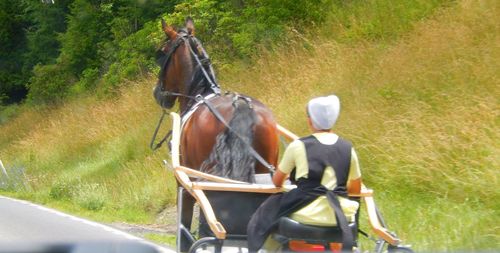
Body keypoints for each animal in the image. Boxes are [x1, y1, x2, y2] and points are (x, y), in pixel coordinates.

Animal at [152, 17, 280, 249]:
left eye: (162, 53)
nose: (157, 92)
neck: (200, 94)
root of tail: (241, 106)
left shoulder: (185, 185)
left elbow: (185, 229)